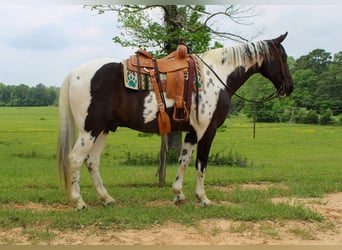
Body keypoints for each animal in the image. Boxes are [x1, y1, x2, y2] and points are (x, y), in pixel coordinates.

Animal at [57, 32, 292, 209]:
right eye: (284, 57)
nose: (289, 88)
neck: (217, 76)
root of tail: (73, 74)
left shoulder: (192, 131)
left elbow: (183, 160)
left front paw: (178, 195)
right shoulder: (208, 130)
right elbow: (201, 164)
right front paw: (203, 198)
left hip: (103, 130)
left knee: (92, 162)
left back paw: (106, 199)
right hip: (90, 130)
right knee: (76, 159)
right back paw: (79, 202)